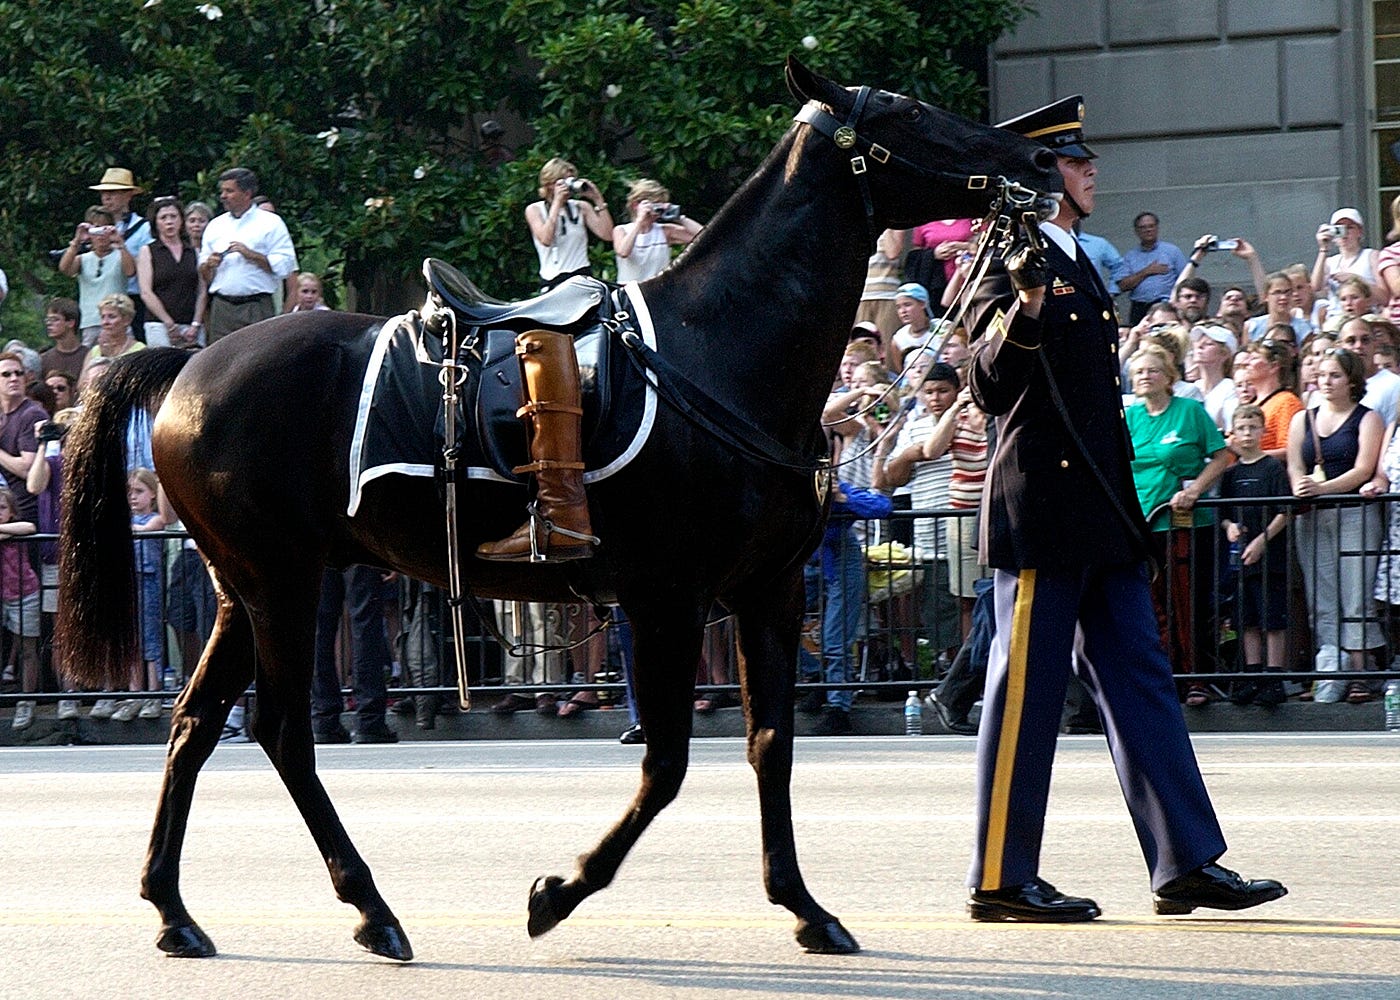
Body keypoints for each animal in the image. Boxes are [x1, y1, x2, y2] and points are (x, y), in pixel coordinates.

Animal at [57, 59, 1059, 961]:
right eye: (906, 112)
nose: (1038, 157)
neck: (719, 351)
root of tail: (188, 364)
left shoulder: (766, 591)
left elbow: (770, 741)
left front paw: (805, 906)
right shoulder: (666, 598)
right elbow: (667, 763)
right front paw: (559, 892)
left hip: (244, 587)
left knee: (194, 725)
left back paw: (174, 910)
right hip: (282, 583)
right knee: (280, 731)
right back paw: (371, 909)